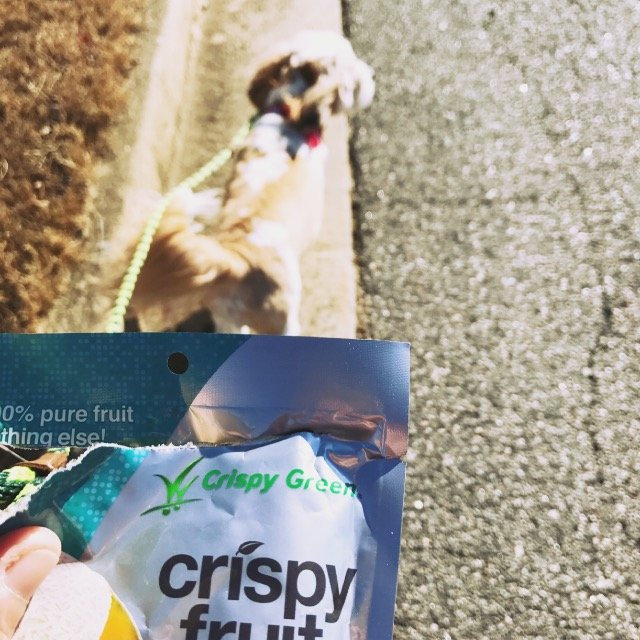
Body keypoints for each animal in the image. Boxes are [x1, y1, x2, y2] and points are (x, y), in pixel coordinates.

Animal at [129, 30, 375, 334]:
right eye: (353, 70)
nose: (372, 74)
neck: (289, 111)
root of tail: (237, 262)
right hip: (283, 320)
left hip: (226, 317)